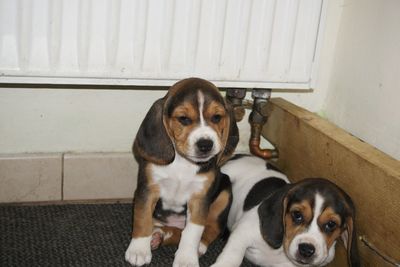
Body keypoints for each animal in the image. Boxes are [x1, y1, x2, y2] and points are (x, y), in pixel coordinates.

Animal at [125, 78, 238, 267]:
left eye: (216, 117)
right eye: (183, 119)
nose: (205, 144)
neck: (183, 162)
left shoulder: (199, 199)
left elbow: (192, 232)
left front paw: (186, 259)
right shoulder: (147, 190)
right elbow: (142, 219)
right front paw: (138, 249)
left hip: (225, 193)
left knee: (210, 228)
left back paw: (197, 245)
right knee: (166, 229)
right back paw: (157, 235)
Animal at [212, 155, 360, 267]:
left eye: (331, 224)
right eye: (297, 215)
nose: (306, 250)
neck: (281, 250)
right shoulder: (242, 232)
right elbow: (232, 258)